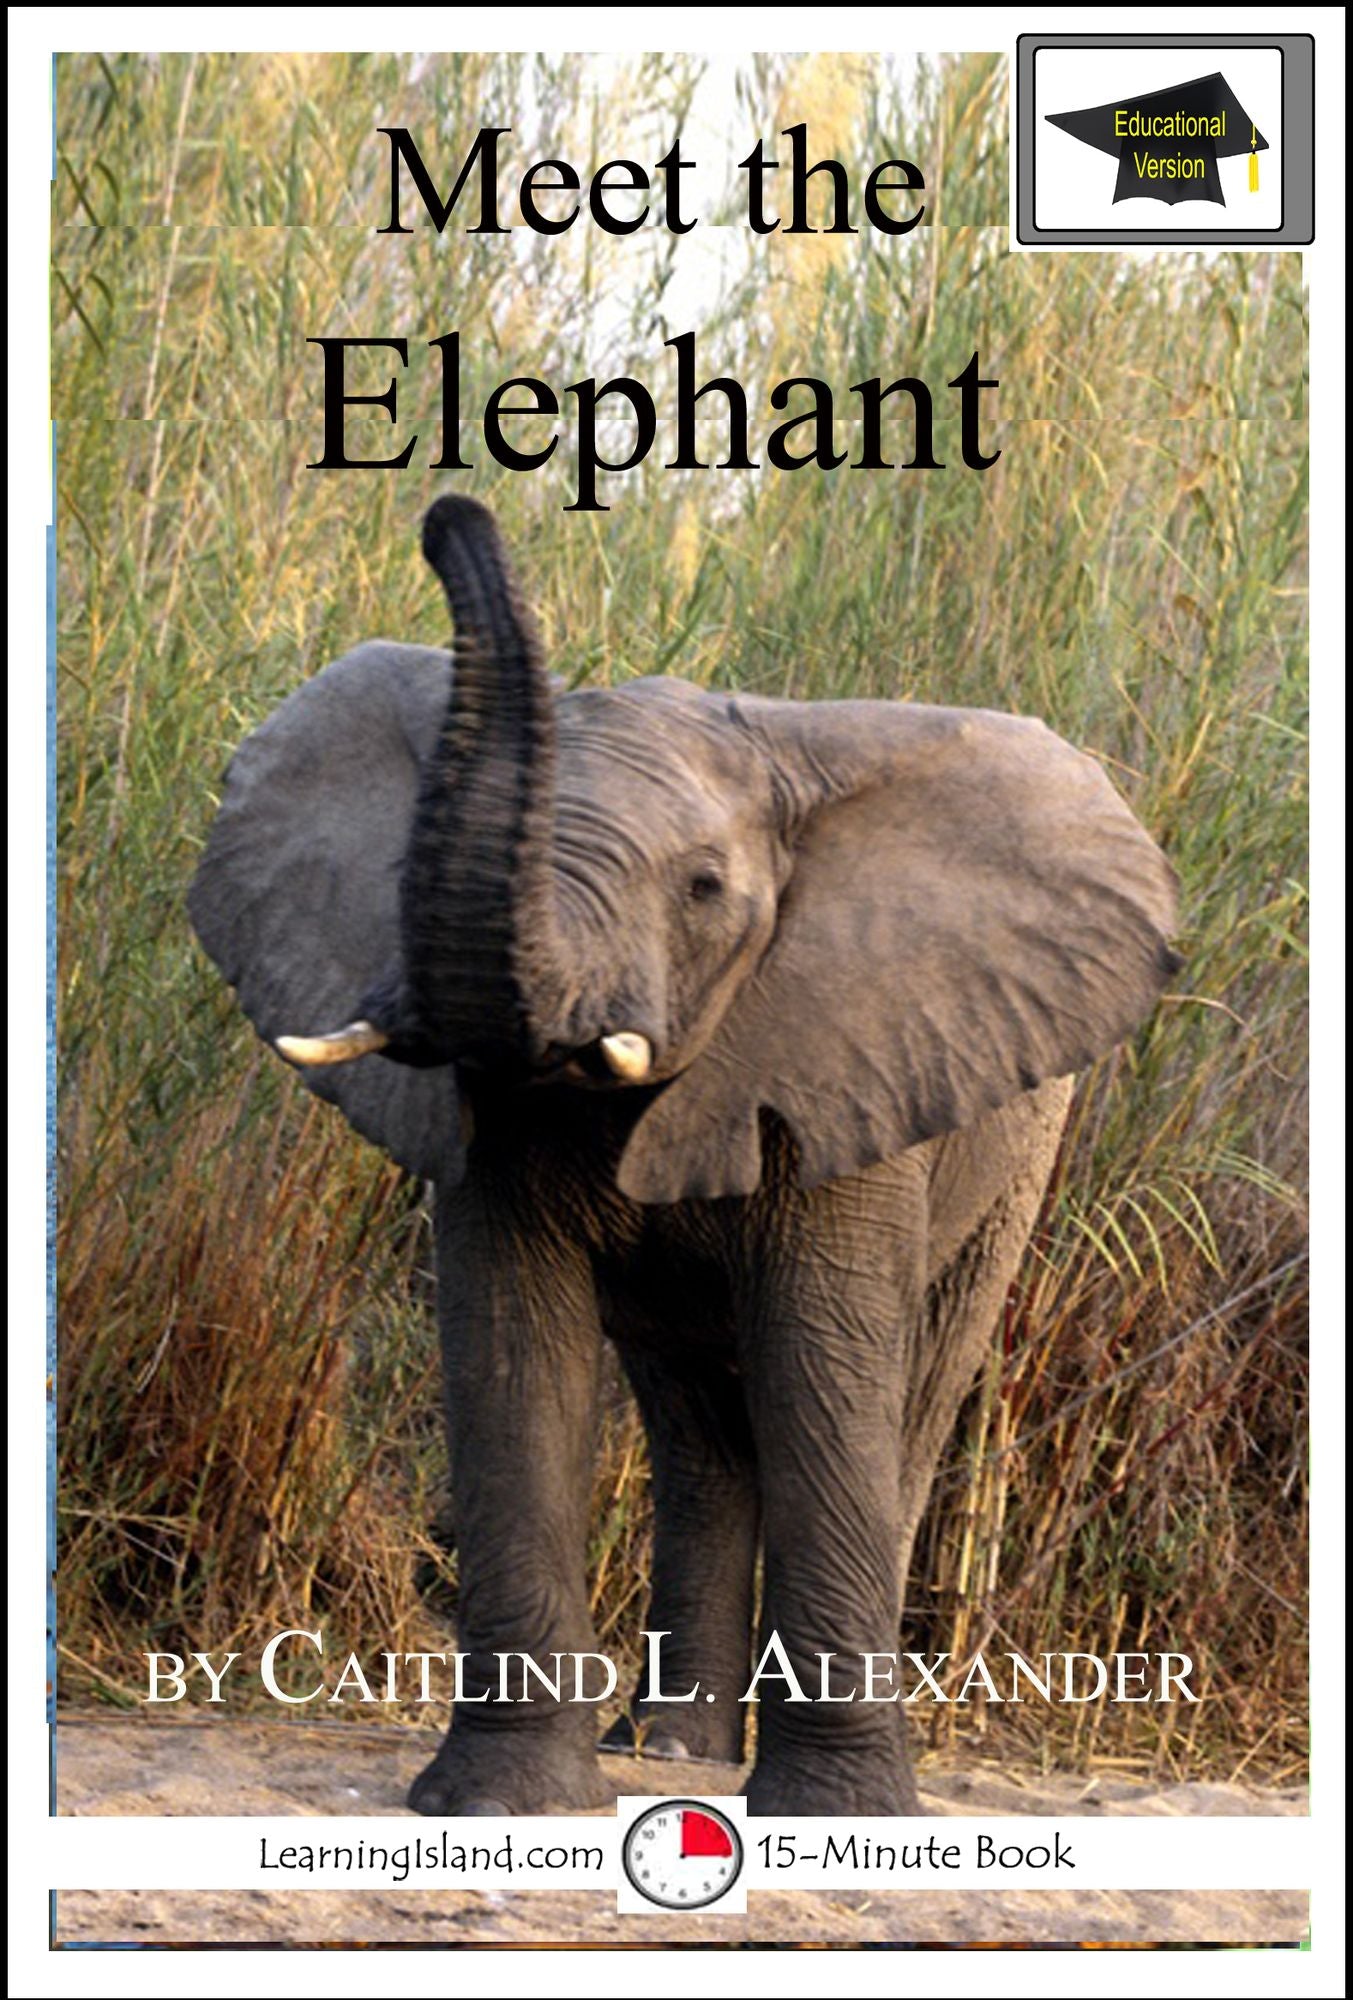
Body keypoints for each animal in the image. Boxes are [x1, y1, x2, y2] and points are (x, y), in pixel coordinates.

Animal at [188, 496, 1179, 1818]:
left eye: (704, 888)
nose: (449, 514)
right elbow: (512, 1352)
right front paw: (500, 1798)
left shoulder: (851, 1052)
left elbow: (824, 1367)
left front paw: (843, 1813)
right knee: (697, 1429)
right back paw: (669, 1752)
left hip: (1020, 1156)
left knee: (909, 1400)